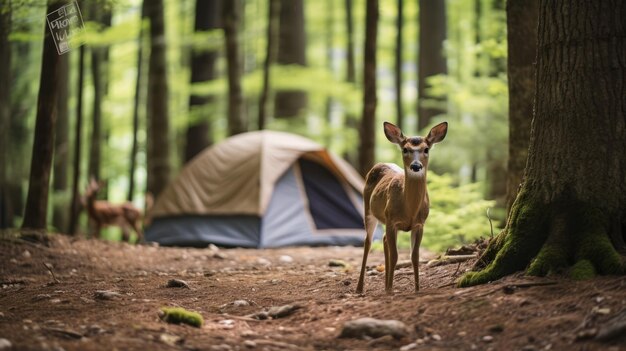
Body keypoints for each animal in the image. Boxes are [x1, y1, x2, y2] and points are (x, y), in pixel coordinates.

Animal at [354, 121, 446, 294]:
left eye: (426, 149)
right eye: (405, 149)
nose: (416, 166)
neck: (410, 210)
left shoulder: (420, 224)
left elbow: (414, 256)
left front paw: (416, 289)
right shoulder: (392, 220)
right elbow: (395, 256)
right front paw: (391, 290)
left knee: (383, 240)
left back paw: (385, 284)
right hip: (369, 210)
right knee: (368, 243)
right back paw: (360, 288)